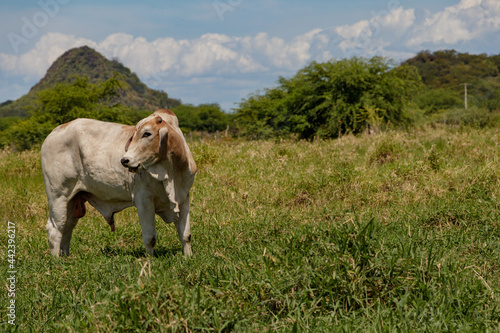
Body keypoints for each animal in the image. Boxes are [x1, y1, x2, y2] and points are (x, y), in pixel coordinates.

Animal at [40, 109, 197, 256]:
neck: (171, 174)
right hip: (58, 196)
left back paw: (66, 257)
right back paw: (57, 260)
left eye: (147, 134)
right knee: (55, 229)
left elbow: (186, 235)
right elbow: (150, 238)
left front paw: (188, 257)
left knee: (67, 228)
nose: (124, 160)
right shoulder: (143, 199)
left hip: (73, 200)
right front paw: (150, 260)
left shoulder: (184, 197)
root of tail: (55, 131)